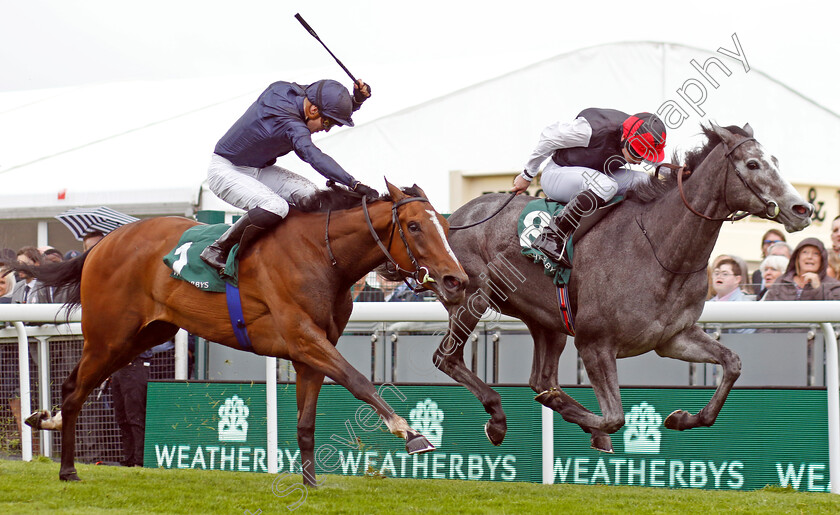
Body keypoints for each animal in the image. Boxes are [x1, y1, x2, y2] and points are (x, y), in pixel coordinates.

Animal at [23, 180, 470, 484]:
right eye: (414, 226)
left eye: (445, 225)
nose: (456, 279)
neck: (321, 254)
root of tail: (101, 244)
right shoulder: (303, 338)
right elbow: (359, 380)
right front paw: (411, 433)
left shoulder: (312, 352)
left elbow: (306, 425)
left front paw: (310, 485)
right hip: (109, 336)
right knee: (75, 391)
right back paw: (66, 468)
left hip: (143, 337)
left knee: (75, 387)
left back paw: (49, 425)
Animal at [434, 123, 812, 454]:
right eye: (753, 164)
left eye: (775, 161)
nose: (802, 209)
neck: (659, 250)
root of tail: (453, 217)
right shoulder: (594, 344)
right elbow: (615, 418)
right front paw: (594, 425)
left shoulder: (673, 337)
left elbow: (732, 363)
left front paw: (682, 418)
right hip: (472, 297)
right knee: (446, 358)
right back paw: (497, 418)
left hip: (546, 320)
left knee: (540, 378)